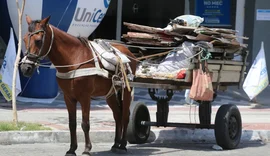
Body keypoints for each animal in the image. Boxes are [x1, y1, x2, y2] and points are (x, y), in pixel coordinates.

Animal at [20, 15, 137, 156]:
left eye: (38, 41)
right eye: (24, 39)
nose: (25, 68)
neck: (74, 58)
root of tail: (128, 52)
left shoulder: (85, 97)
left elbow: (85, 124)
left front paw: (87, 149)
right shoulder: (68, 97)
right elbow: (72, 124)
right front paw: (72, 149)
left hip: (126, 91)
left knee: (125, 116)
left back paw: (123, 145)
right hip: (111, 94)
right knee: (117, 116)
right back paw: (115, 144)